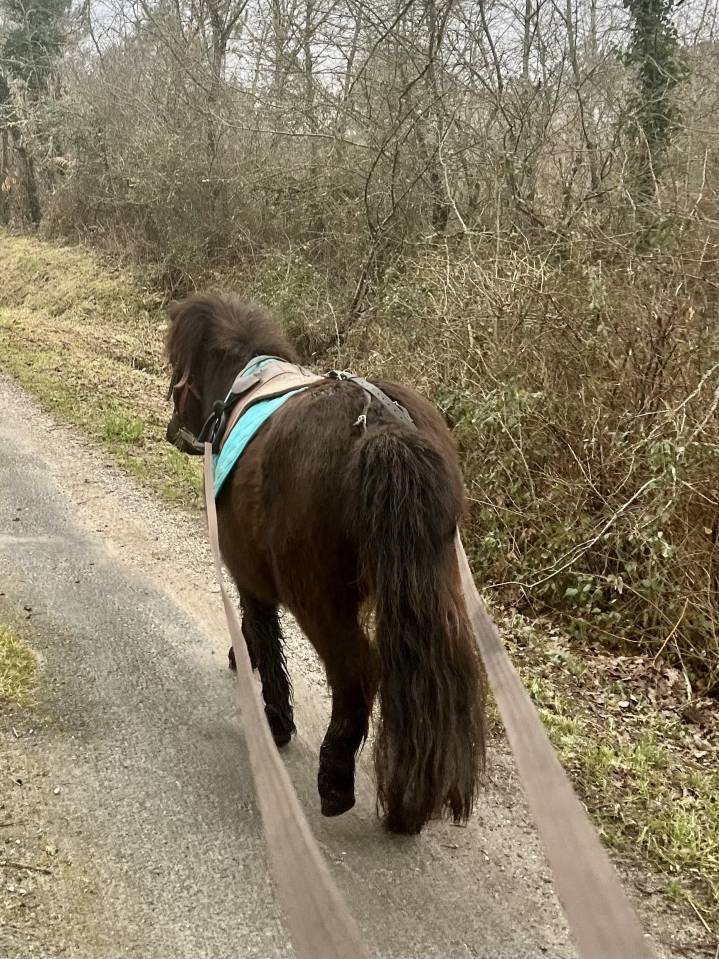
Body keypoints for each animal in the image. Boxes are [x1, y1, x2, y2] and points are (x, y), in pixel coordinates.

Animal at [165, 293, 485, 835]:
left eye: (175, 369)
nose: (173, 432)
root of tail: (381, 428)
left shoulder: (249, 574)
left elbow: (263, 632)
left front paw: (275, 716)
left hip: (318, 598)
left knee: (359, 673)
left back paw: (336, 776)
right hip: (431, 590)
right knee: (431, 680)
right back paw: (410, 802)